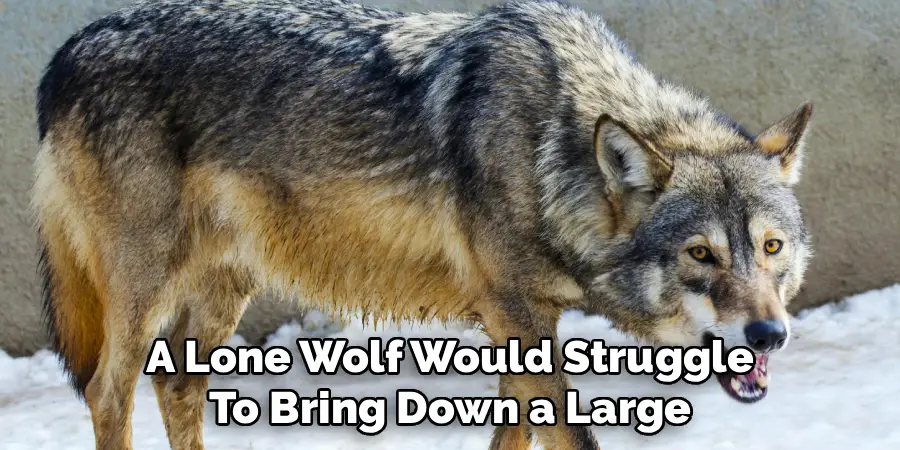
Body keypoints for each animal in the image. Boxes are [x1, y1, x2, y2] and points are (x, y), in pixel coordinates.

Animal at [32, 0, 813, 448]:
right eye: (701, 255)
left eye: (771, 248)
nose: (769, 334)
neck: (548, 147)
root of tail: (66, 51)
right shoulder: (516, 313)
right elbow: (569, 435)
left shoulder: (517, 323)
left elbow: (517, 434)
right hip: (144, 293)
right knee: (108, 393)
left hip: (224, 290)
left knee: (176, 387)